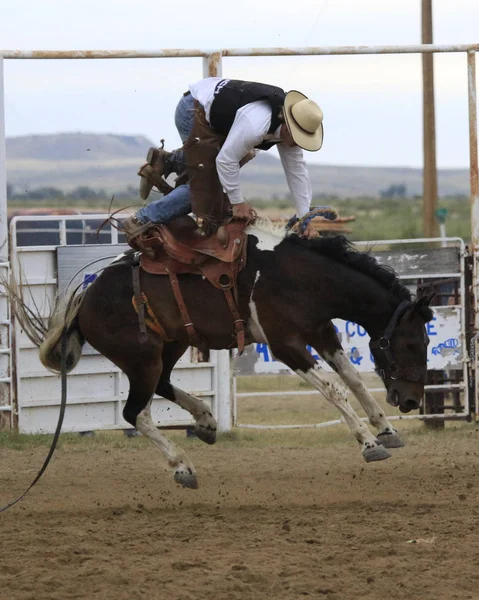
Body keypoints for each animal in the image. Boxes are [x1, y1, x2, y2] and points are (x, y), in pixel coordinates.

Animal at [34, 223, 432, 490]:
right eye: (414, 343)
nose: (412, 400)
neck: (300, 277)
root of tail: (86, 296)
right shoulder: (285, 344)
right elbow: (334, 388)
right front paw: (369, 443)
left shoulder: (322, 331)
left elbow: (352, 378)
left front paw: (386, 429)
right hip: (141, 357)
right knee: (137, 412)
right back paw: (183, 466)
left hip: (170, 346)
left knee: (162, 385)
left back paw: (206, 420)